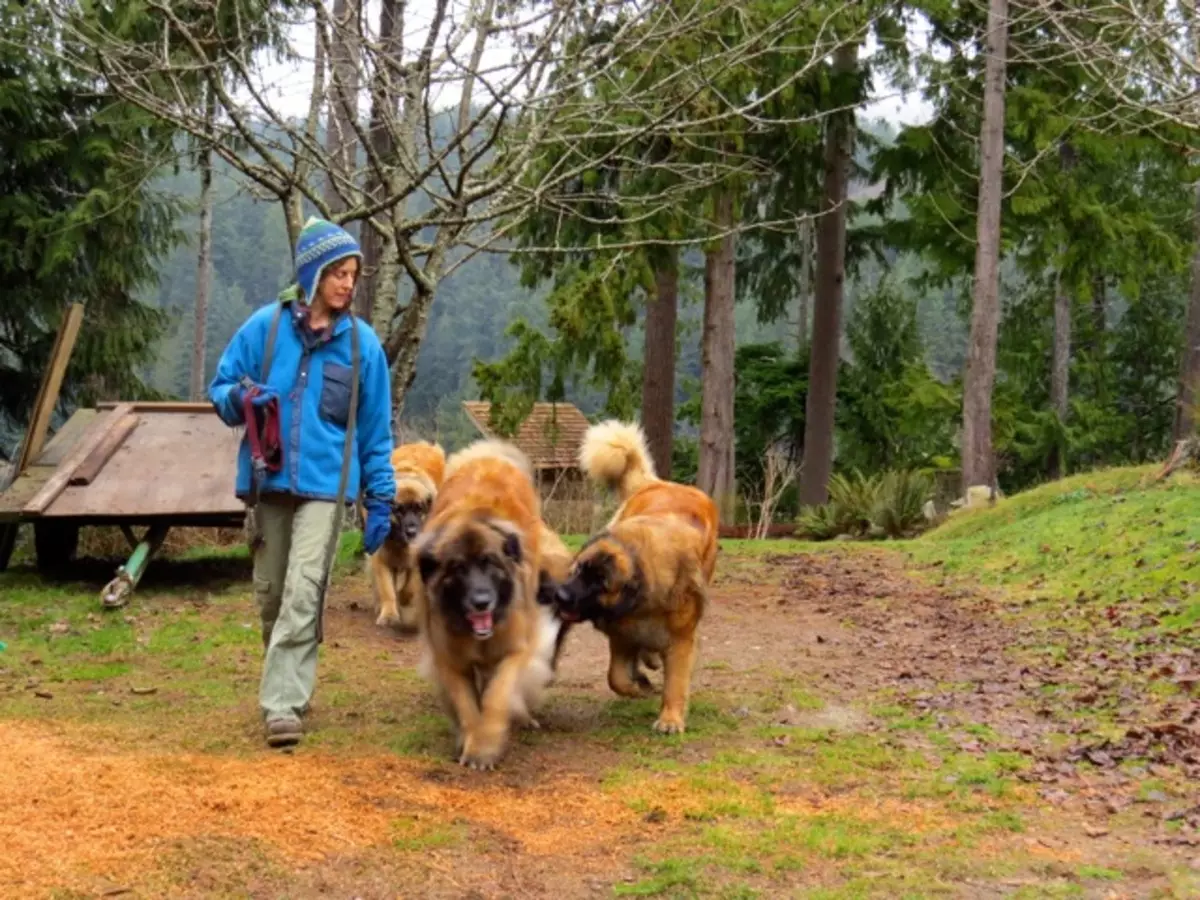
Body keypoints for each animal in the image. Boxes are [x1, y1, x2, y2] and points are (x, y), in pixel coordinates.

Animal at [364, 441, 446, 628]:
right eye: (399, 511)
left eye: (419, 509)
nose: (411, 532)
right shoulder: (381, 555)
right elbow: (387, 588)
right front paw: (389, 614)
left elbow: (408, 587)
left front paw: (403, 599)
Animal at [412, 441, 566, 772]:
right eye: (457, 569)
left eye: (489, 564)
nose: (482, 602)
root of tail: (488, 456)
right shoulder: (450, 659)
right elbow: (468, 706)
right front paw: (473, 743)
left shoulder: (512, 650)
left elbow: (496, 697)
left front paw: (487, 747)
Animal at [549, 420, 715, 734]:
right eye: (578, 570)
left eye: (599, 583)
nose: (560, 595)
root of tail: (658, 483)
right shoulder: (622, 632)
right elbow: (616, 677)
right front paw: (639, 687)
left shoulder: (681, 639)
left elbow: (675, 682)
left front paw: (670, 719)